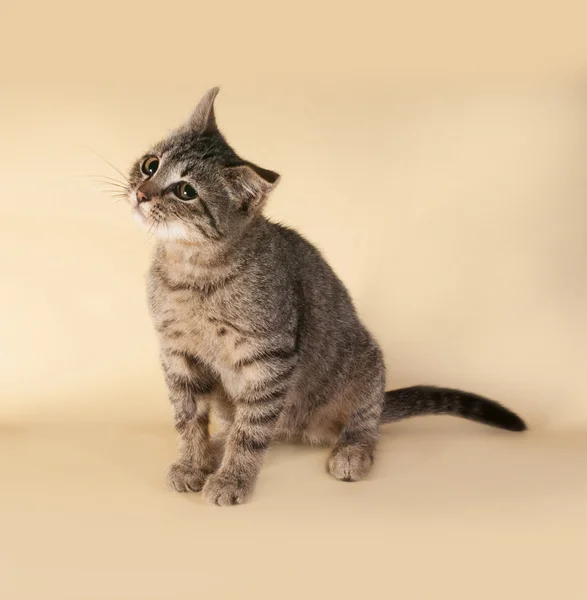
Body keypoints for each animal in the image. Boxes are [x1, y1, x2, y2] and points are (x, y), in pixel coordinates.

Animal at [124, 86, 528, 504]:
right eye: (151, 165)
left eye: (186, 191)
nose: (141, 193)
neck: (190, 274)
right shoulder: (177, 354)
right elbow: (188, 418)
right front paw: (192, 462)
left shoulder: (269, 358)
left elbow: (252, 432)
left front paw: (233, 478)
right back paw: (217, 447)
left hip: (366, 364)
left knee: (361, 422)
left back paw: (351, 451)